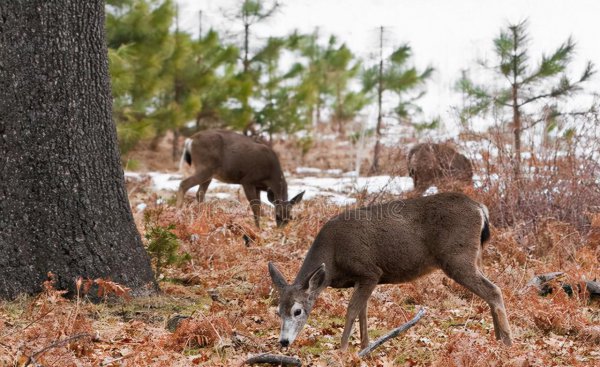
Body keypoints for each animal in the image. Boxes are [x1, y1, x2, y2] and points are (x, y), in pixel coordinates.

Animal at [270, 193, 512, 350]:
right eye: (278, 311)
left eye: (298, 311)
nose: (283, 342)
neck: (333, 259)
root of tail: (480, 209)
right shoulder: (362, 279)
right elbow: (363, 311)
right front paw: (365, 347)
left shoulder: (370, 271)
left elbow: (351, 310)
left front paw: (343, 350)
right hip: (474, 258)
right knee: (491, 290)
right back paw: (498, 340)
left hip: (457, 259)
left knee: (494, 290)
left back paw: (507, 342)